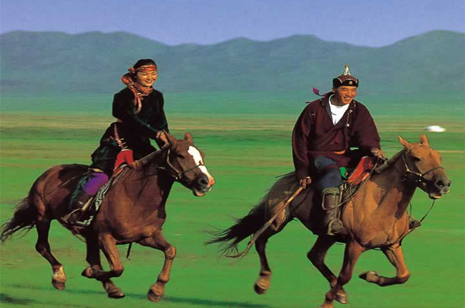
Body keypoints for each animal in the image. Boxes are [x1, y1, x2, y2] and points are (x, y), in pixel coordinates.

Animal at [0, 132, 215, 300]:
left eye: (201, 155)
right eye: (180, 155)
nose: (206, 182)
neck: (137, 196)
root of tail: (47, 173)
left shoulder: (145, 237)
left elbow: (171, 251)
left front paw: (156, 290)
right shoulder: (105, 236)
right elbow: (118, 267)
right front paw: (89, 273)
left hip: (88, 234)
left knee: (90, 257)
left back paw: (111, 288)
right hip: (43, 217)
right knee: (43, 246)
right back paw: (59, 277)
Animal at [209, 134, 450, 308]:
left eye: (439, 157)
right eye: (416, 158)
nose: (443, 184)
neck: (380, 203)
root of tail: (289, 178)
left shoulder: (391, 245)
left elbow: (403, 275)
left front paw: (370, 276)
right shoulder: (355, 245)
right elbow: (346, 275)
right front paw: (327, 302)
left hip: (327, 234)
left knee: (314, 256)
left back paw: (339, 293)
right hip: (278, 221)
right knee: (260, 240)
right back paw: (262, 282)